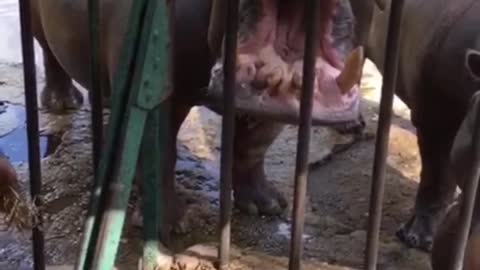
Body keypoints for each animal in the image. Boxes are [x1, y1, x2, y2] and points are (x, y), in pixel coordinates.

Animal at [31, 0, 364, 232]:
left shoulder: (283, 107)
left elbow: (252, 147)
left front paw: (267, 206)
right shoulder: (153, 86)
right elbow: (159, 151)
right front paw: (170, 225)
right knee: (46, 48)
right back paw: (63, 105)